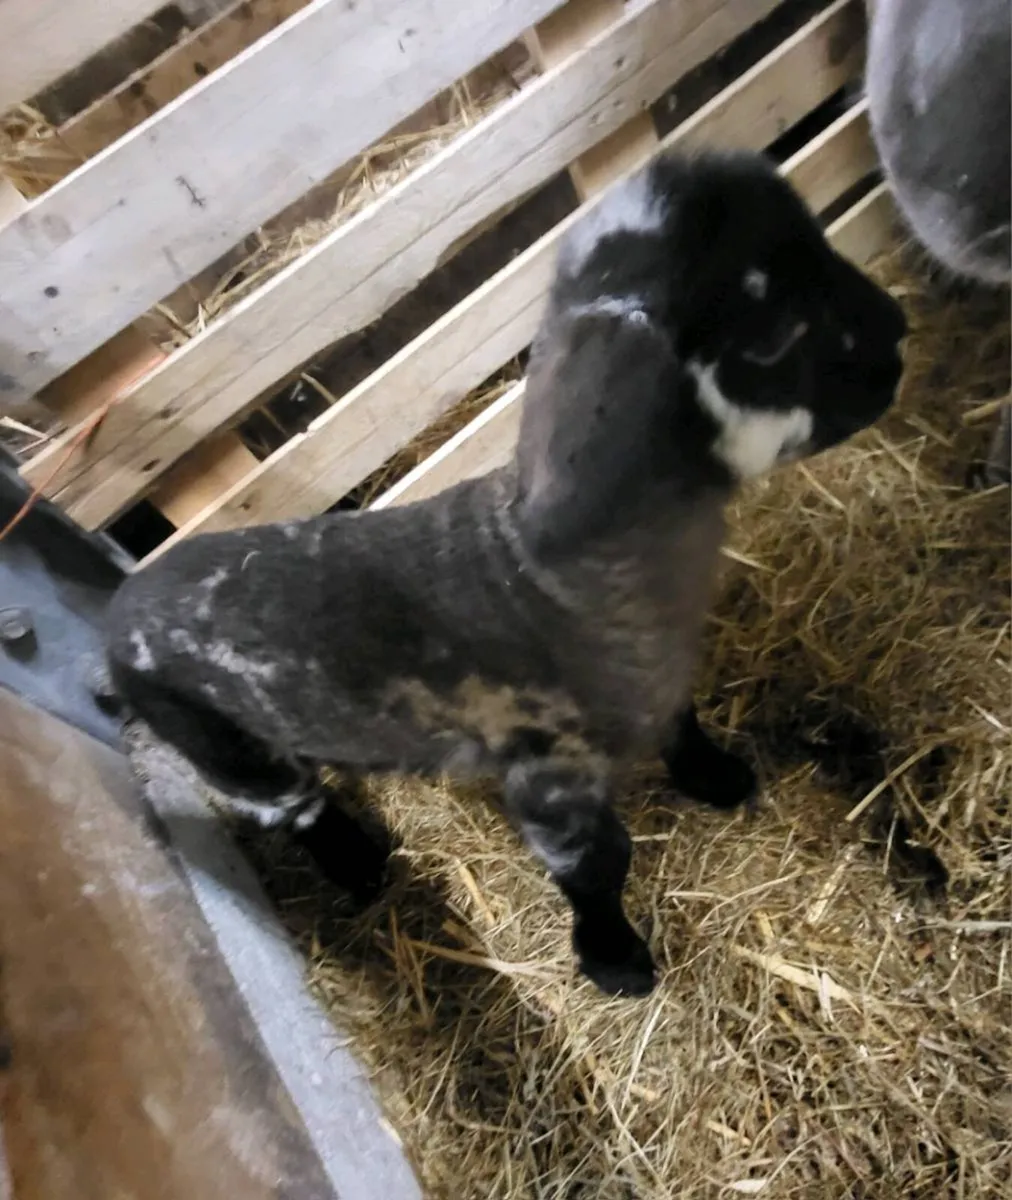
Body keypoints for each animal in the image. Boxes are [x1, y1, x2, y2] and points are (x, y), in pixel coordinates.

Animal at [107, 150, 906, 997]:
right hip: (231, 750)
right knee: (295, 809)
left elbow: (682, 722)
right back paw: (361, 869)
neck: (545, 571)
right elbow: (598, 866)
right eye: (776, 334)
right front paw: (615, 961)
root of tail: (120, 607)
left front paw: (719, 780)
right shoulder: (550, 779)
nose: (899, 332)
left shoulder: (655, 677)